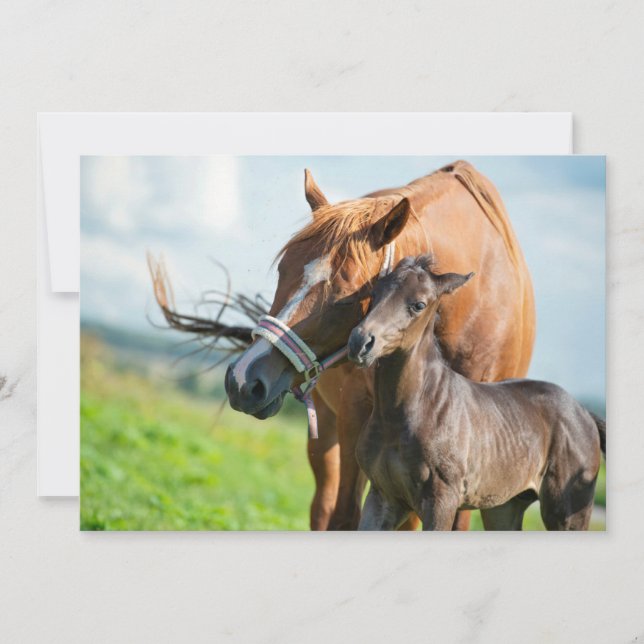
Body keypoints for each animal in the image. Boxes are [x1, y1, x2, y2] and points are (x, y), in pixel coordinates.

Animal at [223, 161, 537, 530]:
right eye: (282, 271)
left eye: (348, 296)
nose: (243, 380)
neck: (474, 302)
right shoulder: (355, 413)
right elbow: (344, 516)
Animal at [348, 255, 604, 530]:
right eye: (375, 293)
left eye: (419, 305)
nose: (360, 343)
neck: (399, 416)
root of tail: (584, 413)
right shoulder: (383, 497)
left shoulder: (441, 500)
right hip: (504, 507)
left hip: (567, 513)